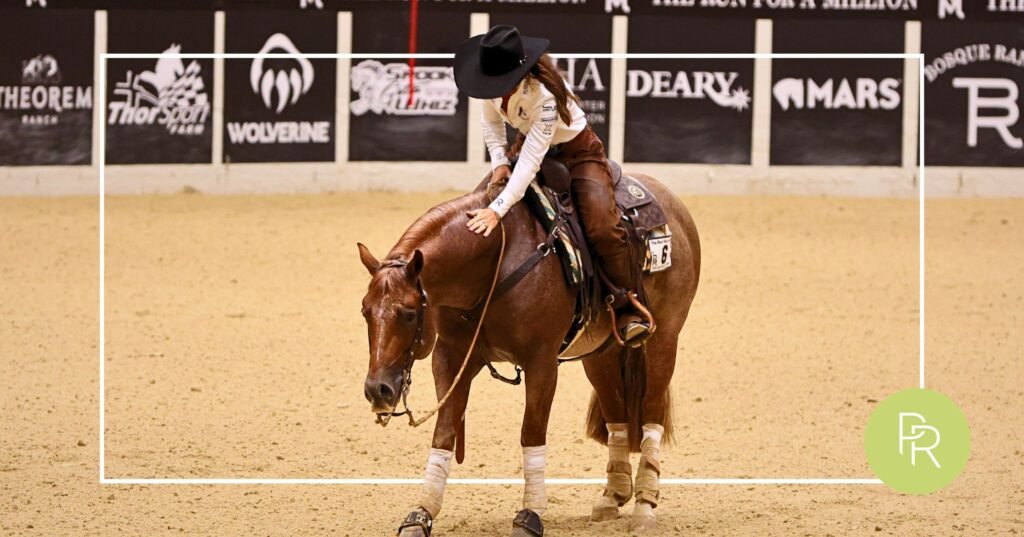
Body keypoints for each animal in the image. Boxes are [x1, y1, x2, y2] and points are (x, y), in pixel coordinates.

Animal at [358, 172, 700, 536]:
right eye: (365, 310)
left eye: (409, 313)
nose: (378, 389)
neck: (493, 265)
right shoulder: (450, 358)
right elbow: (445, 433)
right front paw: (421, 514)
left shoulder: (542, 363)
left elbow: (531, 432)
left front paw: (530, 514)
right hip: (600, 354)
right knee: (616, 412)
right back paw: (612, 496)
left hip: (664, 339)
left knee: (652, 411)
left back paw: (645, 505)